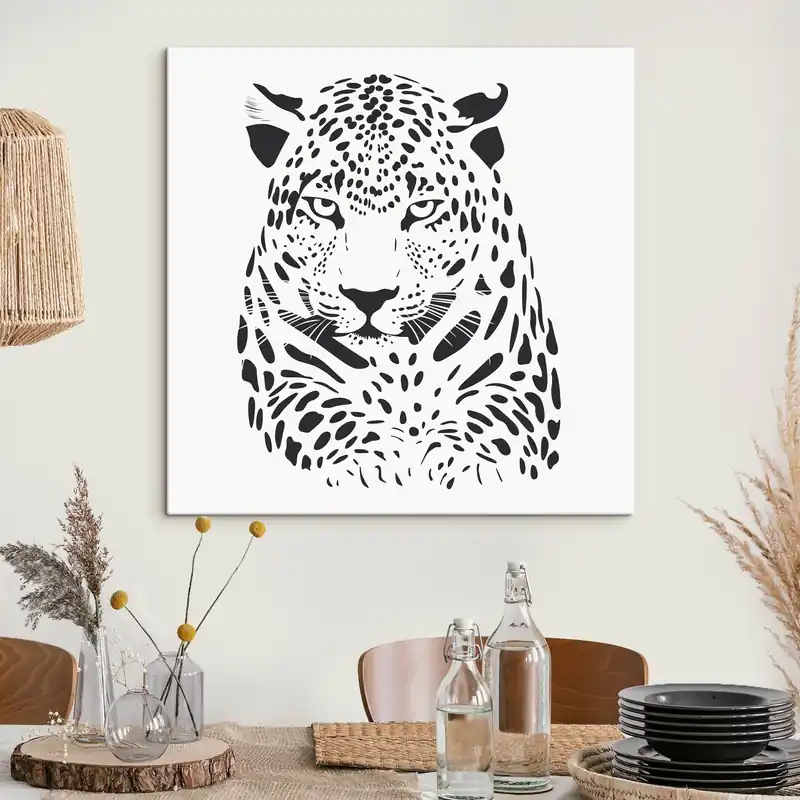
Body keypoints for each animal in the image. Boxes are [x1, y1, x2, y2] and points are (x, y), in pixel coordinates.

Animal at [237, 73, 561, 489]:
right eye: (323, 206)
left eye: (422, 209)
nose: (368, 297)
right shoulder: (284, 378)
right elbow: (321, 416)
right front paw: (366, 463)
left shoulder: (520, 378)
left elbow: (494, 421)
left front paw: (468, 466)